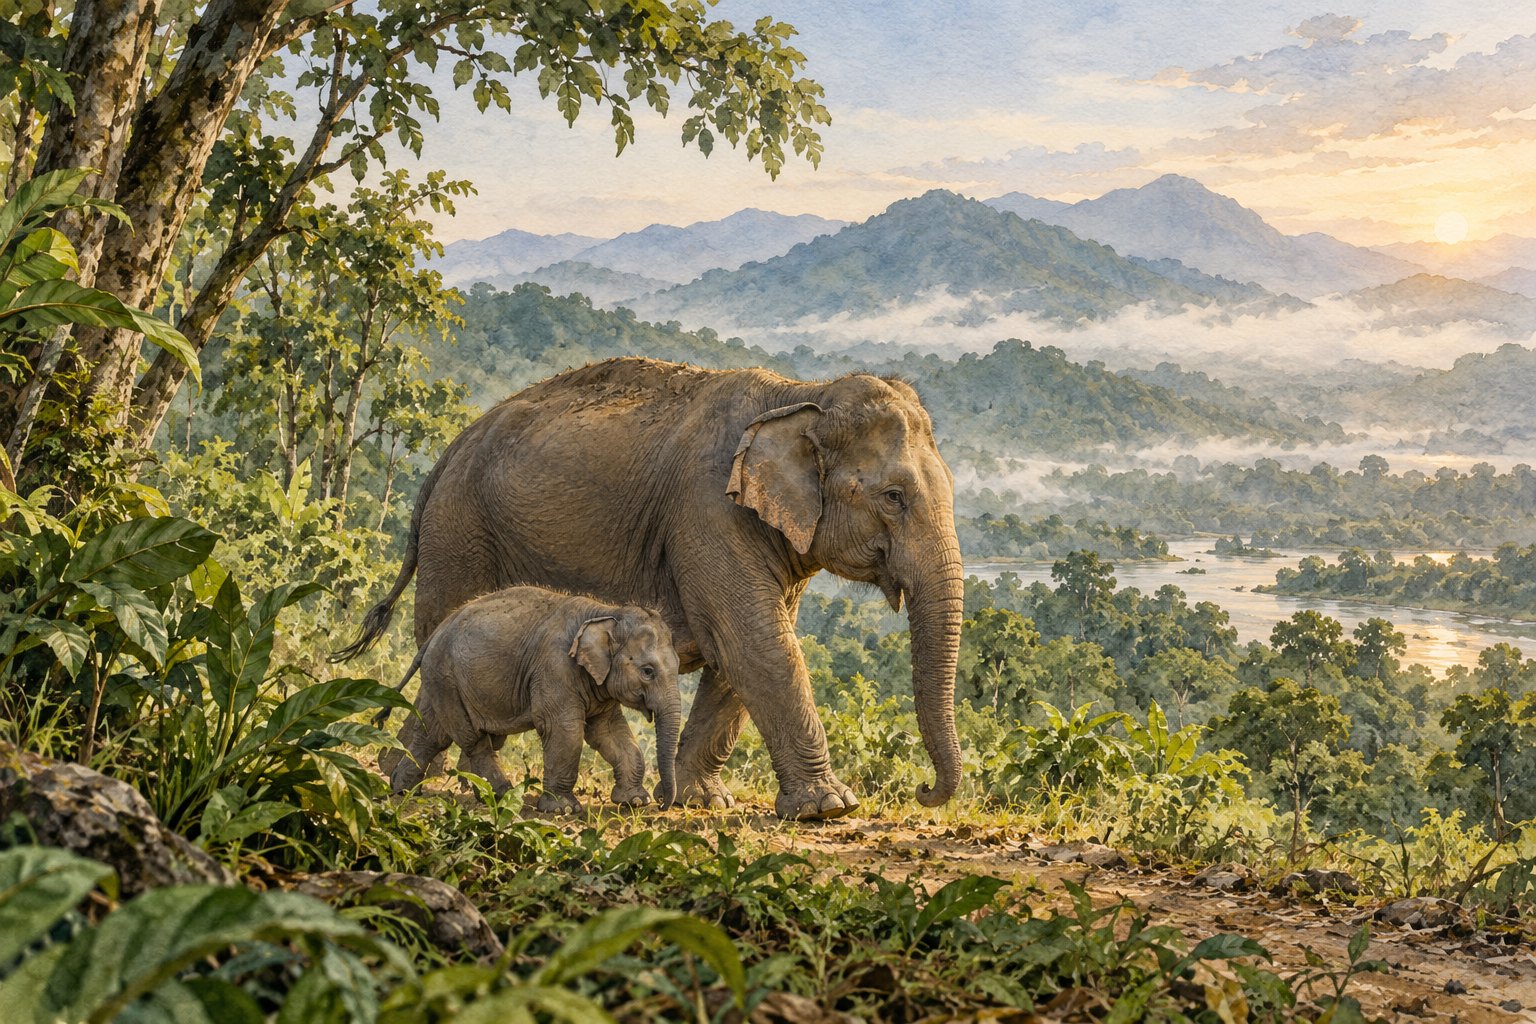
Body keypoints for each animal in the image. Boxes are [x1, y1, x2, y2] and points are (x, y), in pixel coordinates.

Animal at [381, 586, 682, 814]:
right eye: (648, 671)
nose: (662, 803)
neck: (606, 612)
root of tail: (436, 632)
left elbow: (610, 732)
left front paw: (634, 801)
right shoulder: (555, 668)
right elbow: (565, 730)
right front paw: (563, 809)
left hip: (441, 680)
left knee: (432, 733)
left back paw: (402, 788)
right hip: (446, 677)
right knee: (472, 740)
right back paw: (502, 795)